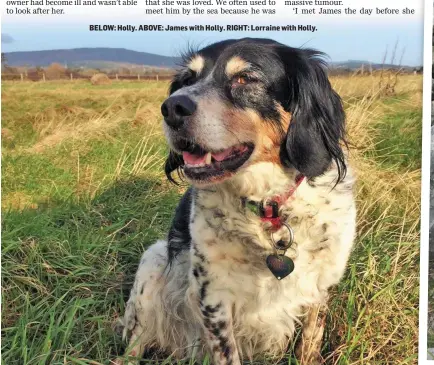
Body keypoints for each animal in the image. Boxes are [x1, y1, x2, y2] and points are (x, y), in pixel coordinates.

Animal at [118, 38, 356, 362]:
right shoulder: (213, 299)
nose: (171, 107)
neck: (269, 209)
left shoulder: (319, 286)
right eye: (188, 79)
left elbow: (310, 339)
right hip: (152, 264)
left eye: (244, 79)